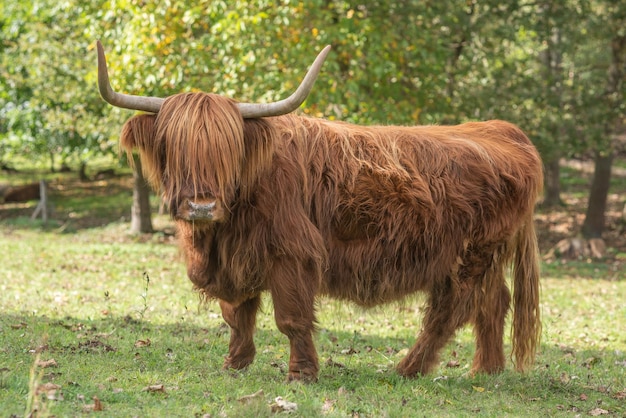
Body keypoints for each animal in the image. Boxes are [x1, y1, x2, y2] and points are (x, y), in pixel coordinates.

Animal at [96, 41, 540, 382]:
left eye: (229, 150)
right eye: (172, 147)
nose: (202, 205)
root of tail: (502, 130)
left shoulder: (292, 253)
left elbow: (291, 319)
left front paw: (301, 374)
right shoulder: (238, 258)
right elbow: (237, 314)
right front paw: (234, 364)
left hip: (467, 257)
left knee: (450, 312)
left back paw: (407, 369)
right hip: (486, 257)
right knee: (493, 302)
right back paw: (486, 370)